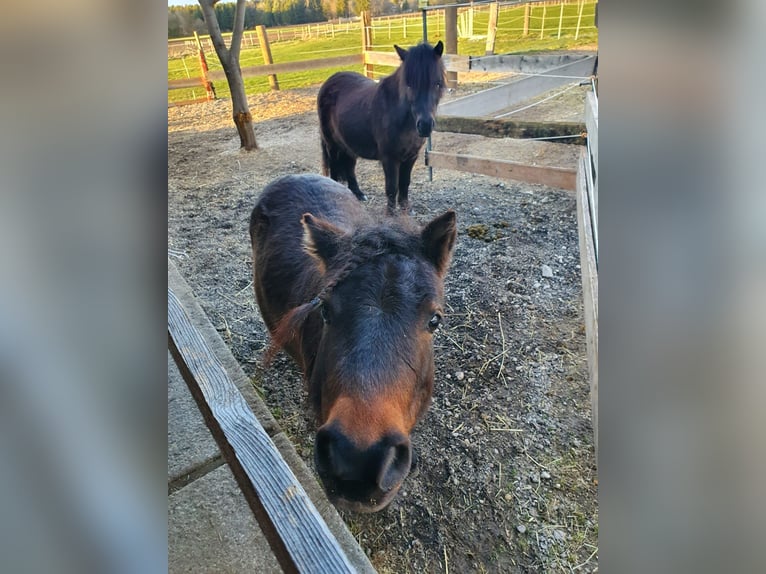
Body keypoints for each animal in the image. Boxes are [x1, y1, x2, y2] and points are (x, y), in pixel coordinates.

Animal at [320, 41, 450, 215]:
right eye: (408, 85)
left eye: (437, 83)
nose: (425, 125)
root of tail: (330, 80)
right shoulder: (389, 158)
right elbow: (391, 187)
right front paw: (391, 214)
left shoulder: (411, 156)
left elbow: (404, 184)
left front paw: (405, 210)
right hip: (332, 145)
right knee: (334, 169)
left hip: (348, 145)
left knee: (349, 167)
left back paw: (358, 194)